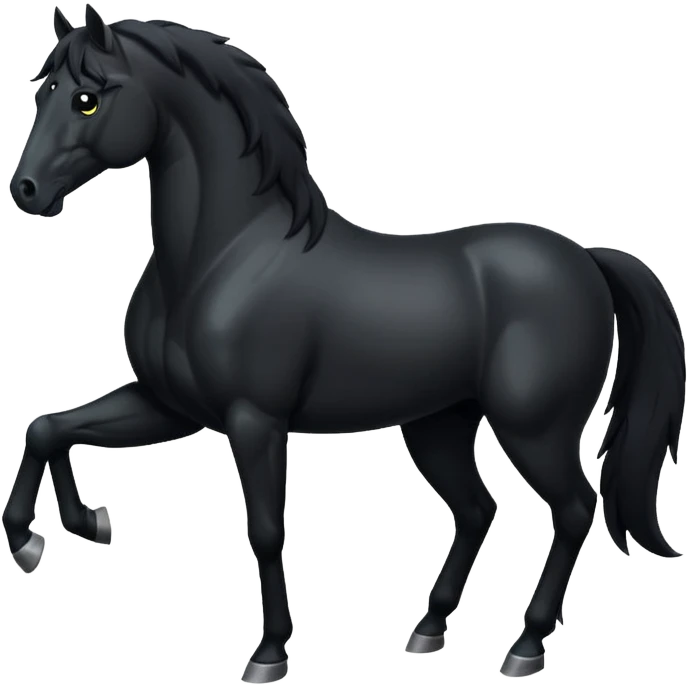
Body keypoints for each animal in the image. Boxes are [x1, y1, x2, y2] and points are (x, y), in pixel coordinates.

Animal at [6, 4, 685, 682]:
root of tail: (586, 259)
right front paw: (62, 532)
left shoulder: (254, 420)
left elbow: (266, 531)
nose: (27, 191)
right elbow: (49, 428)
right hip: (439, 425)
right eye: (42, 93)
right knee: (476, 509)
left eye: (88, 99)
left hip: (534, 430)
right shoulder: (169, 406)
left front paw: (269, 653)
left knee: (573, 509)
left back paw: (525, 646)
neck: (222, 256)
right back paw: (427, 630)